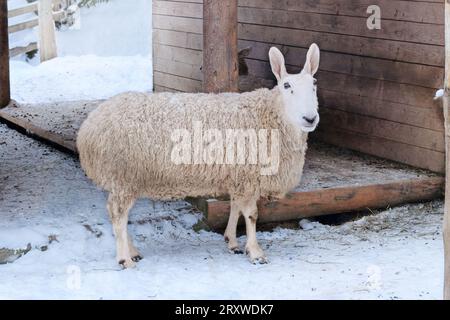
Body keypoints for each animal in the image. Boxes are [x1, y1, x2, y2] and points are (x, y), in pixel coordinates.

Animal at [76, 42, 320, 268]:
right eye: (286, 85)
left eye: (314, 85)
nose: (310, 118)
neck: (270, 116)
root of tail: (88, 127)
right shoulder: (248, 177)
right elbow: (251, 215)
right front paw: (255, 252)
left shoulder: (237, 176)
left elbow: (235, 208)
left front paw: (232, 242)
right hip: (123, 176)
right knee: (118, 215)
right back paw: (125, 259)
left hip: (123, 179)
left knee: (118, 215)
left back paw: (133, 251)